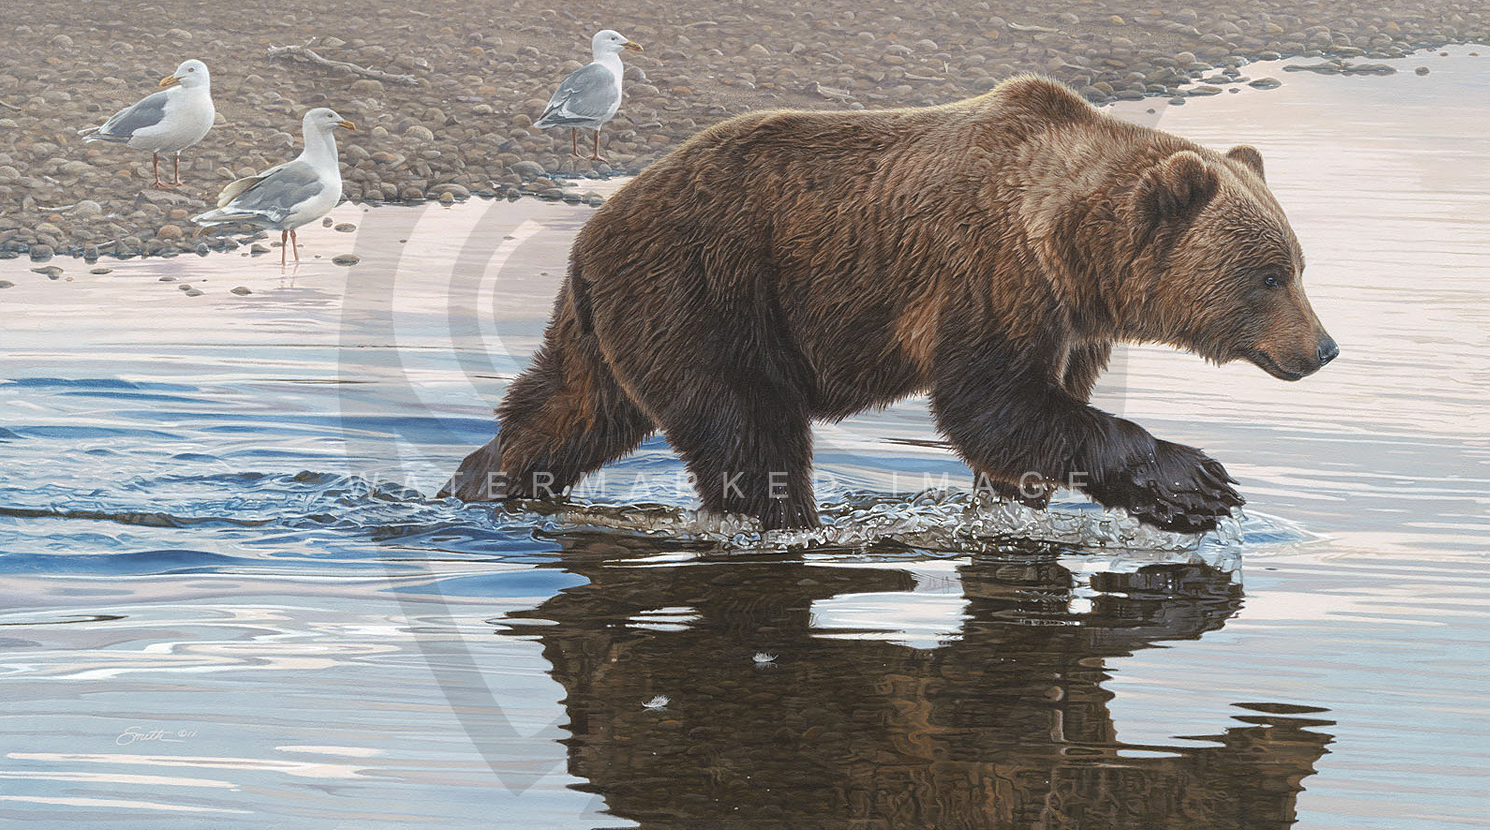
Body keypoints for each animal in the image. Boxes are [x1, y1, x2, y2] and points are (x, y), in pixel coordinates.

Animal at [441, 76, 1338, 533]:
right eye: (1270, 276)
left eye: (1298, 265)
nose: (1323, 347)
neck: (1069, 247)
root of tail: (590, 233)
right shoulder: (989, 276)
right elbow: (993, 405)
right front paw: (1198, 481)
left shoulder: (1069, 323)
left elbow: (1029, 425)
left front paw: (1021, 505)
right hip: (706, 293)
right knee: (749, 432)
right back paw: (792, 524)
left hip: (613, 322)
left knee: (566, 409)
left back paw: (483, 480)